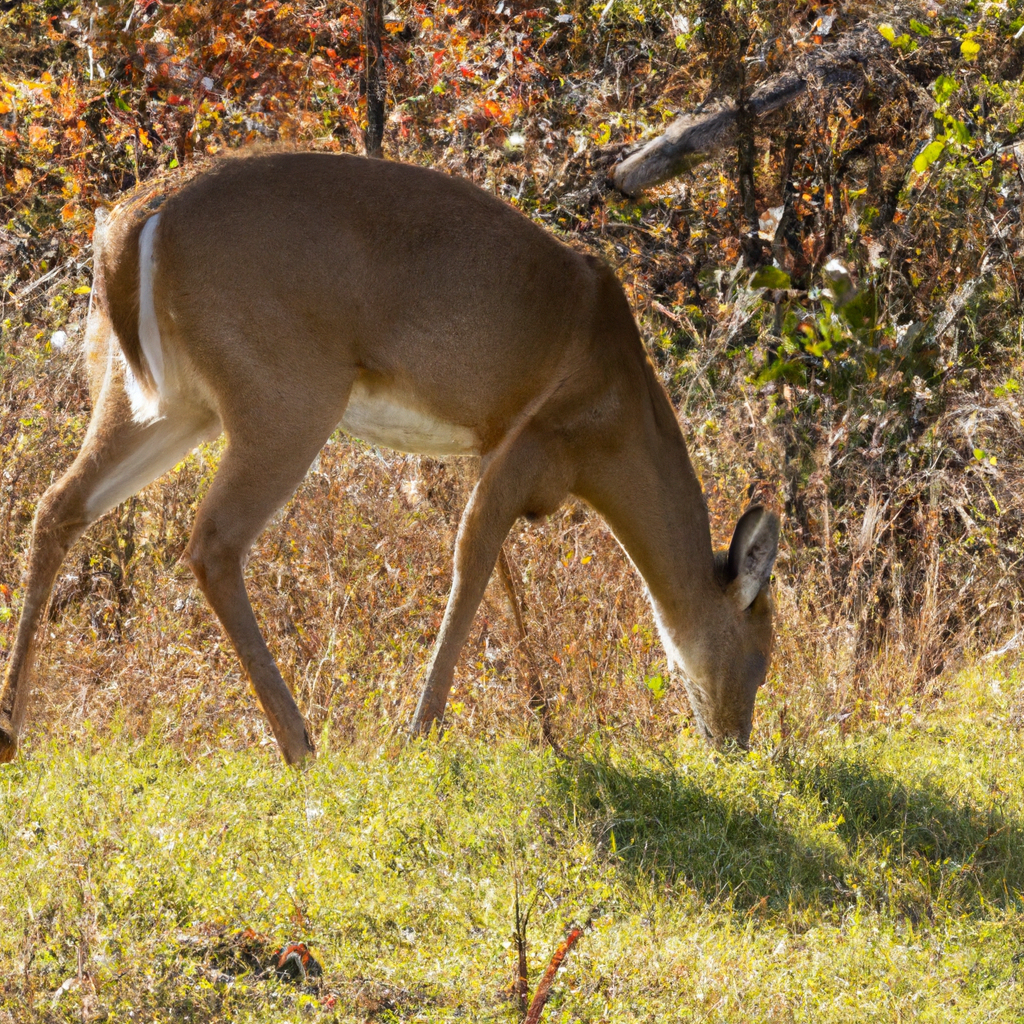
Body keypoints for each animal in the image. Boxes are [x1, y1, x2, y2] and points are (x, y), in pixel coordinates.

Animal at [0, 149, 778, 761]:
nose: (736, 743)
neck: (619, 406)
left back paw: (12, 732)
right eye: (762, 655)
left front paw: (545, 724)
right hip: (286, 394)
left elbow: (505, 577)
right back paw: (300, 744)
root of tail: (132, 227)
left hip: (156, 398)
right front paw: (422, 733)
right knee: (212, 543)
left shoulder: (490, 444)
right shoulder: (536, 437)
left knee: (58, 505)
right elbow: (472, 559)